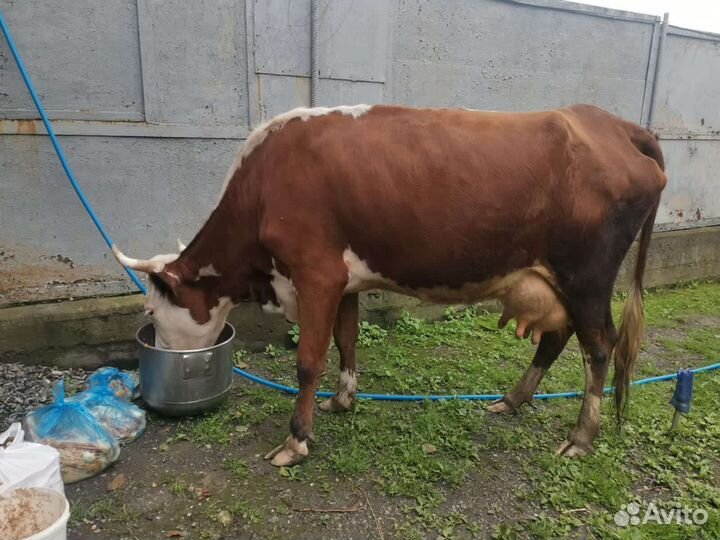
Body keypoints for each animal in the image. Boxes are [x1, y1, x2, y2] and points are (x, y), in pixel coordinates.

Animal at [113, 103, 666, 467]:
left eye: (151, 312)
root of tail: (613, 124)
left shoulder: (315, 273)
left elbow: (309, 360)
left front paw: (296, 440)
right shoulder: (343, 280)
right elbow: (346, 340)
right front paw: (343, 400)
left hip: (587, 276)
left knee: (600, 346)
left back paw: (582, 436)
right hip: (559, 280)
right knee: (558, 336)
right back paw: (512, 400)